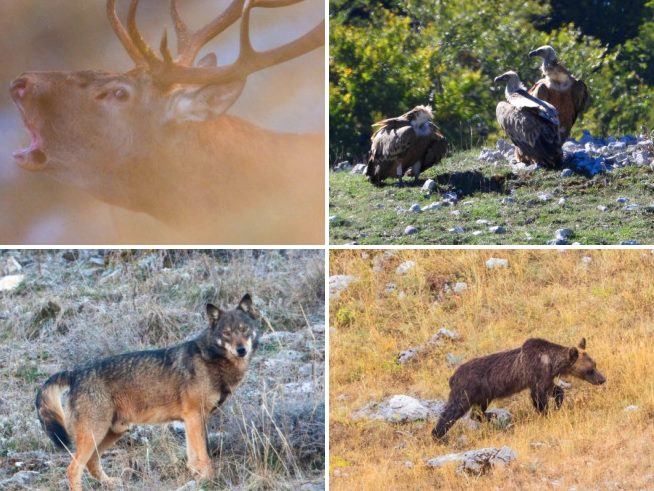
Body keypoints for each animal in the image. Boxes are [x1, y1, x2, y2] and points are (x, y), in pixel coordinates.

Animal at [434, 338, 608, 442]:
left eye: (595, 364)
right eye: (590, 369)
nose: (602, 379)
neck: (551, 362)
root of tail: (453, 376)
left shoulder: (546, 377)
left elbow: (555, 390)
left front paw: (558, 404)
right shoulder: (536, 374)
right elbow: (538, 398)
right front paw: (546, 413)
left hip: (484, 394)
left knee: (476, 412)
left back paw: (492, 415)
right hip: (466, 390)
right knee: (453, 411)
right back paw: (438, 435)